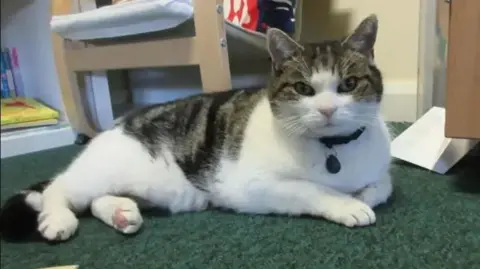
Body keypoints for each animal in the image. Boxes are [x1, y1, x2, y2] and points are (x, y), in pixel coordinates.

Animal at [0, 13, 392, 242]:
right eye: (303, 89)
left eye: (349, 84)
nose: (327, 110)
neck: (333, 148)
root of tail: (118, 124)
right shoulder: (252, 185)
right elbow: (312, 190)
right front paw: (346, 204)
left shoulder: (380, 171)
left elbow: (381, 187)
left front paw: (360, 195)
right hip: (98, 173)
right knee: (59, 189)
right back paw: (57, 219)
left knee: (96, 199)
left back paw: (121, 213)